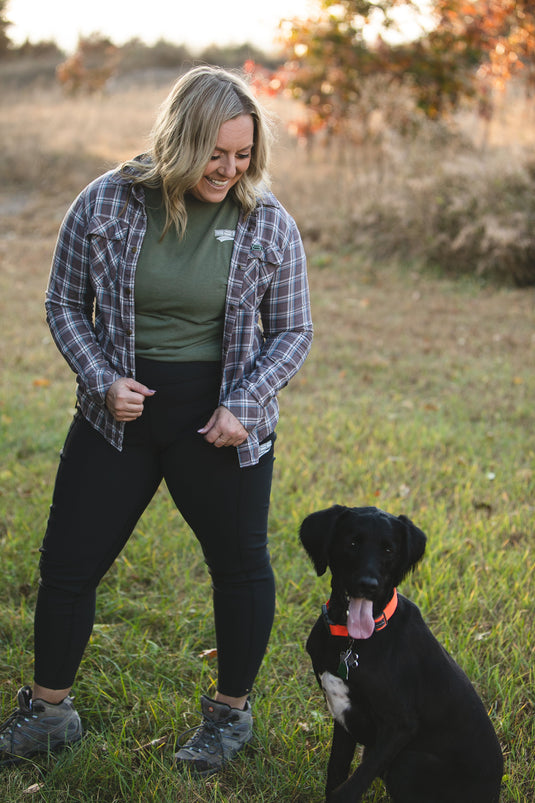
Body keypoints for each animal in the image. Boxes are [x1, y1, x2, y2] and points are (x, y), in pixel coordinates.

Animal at [300, 508, 504, 803]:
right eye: (353, 543)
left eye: (389, 549)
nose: (369, 585)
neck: (351, 642)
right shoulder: (343, 717)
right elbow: (335, 773)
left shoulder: (400, 726)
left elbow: (349, 788)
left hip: (408, 763)